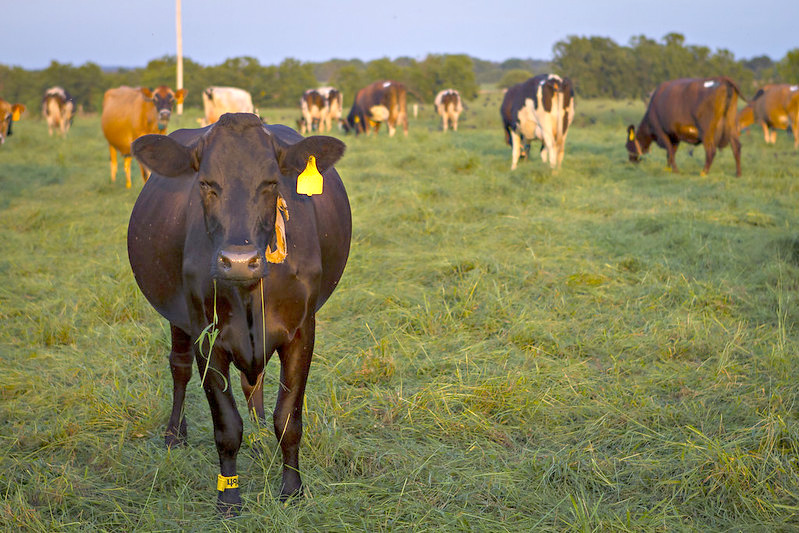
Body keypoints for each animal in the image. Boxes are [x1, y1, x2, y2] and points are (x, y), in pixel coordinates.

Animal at [128, 113, 350, 516]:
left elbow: (288, 418)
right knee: (179, 368)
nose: (240, 261)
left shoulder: (302, 331)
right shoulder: (206, 333)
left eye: (272, 182)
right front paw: (229, 497)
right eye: (205, 184)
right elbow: (227, 425)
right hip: (177, 317)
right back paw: (174, 434)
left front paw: (292, 489)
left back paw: (260, 436)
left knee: (253, 383)